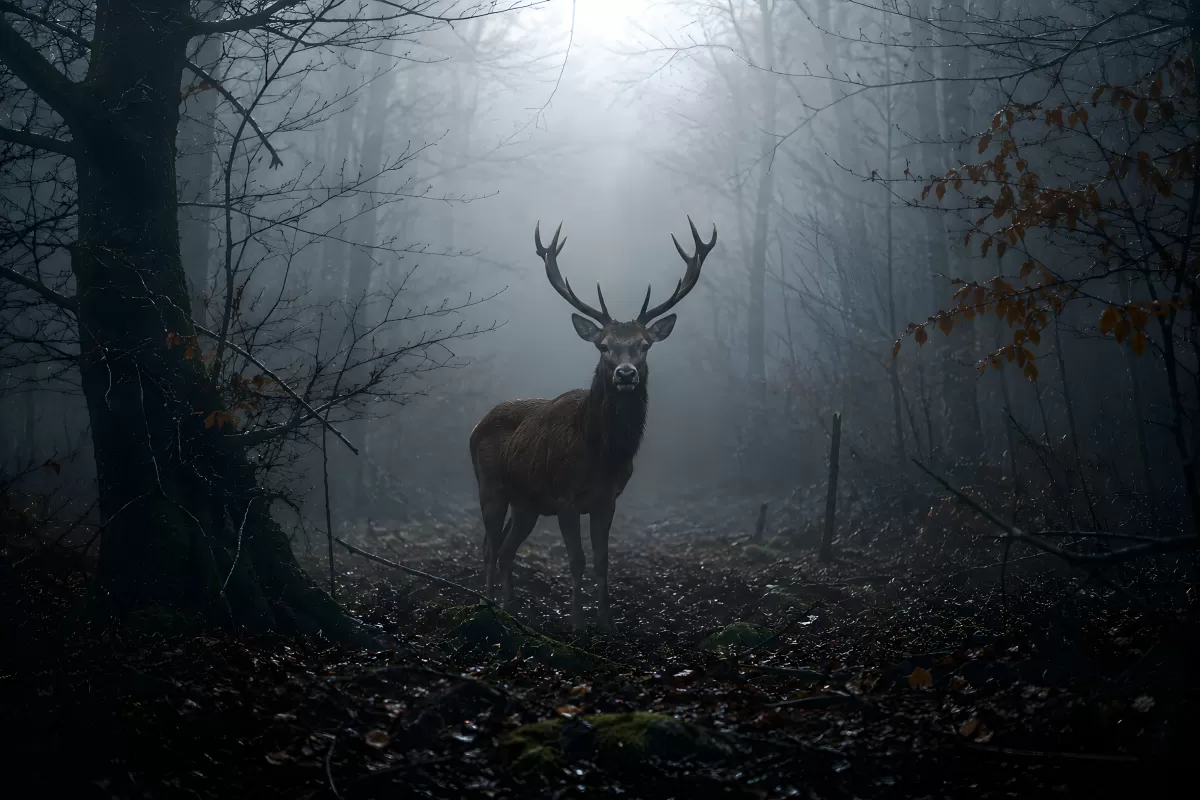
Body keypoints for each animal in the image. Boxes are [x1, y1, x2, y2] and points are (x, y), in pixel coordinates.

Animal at [469, 217, 717, 632]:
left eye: (645, 345)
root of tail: (476, 425)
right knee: (488, 545)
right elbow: (577, 560)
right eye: (603, 346)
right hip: (490, 486)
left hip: (526, 503)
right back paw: (486, 605)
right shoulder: (565, 497)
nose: (626, 374)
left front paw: (607, 622)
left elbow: (602, 560)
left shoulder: (608, 500)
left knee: (504, 548)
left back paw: (509, 606)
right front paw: (577, 623)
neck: (601, 456)